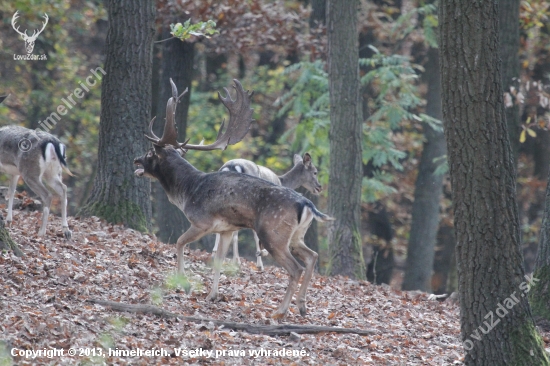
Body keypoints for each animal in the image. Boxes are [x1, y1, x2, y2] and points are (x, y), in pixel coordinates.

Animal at [0, 95, 73, 237]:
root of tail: (54, 143)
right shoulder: (14, 172)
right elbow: (11, 192)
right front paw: (8, 221)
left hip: (30, 171)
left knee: (47, 194)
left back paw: (41, 232)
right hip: (53, 171)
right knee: (63, 188)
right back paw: (66, 230)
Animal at [135, 79, 336, 318]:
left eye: (149, 154)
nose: (136, 160)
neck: (188, 191)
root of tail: (307, 204)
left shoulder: (201, 222)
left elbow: (179, 242)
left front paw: (185, 285)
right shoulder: (227, 229)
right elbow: (218, 259)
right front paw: (212, 295)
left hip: (272, 233)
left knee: (296, 268)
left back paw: (280, 311)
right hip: (296, 235)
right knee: (312, 256)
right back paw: (302, 305)